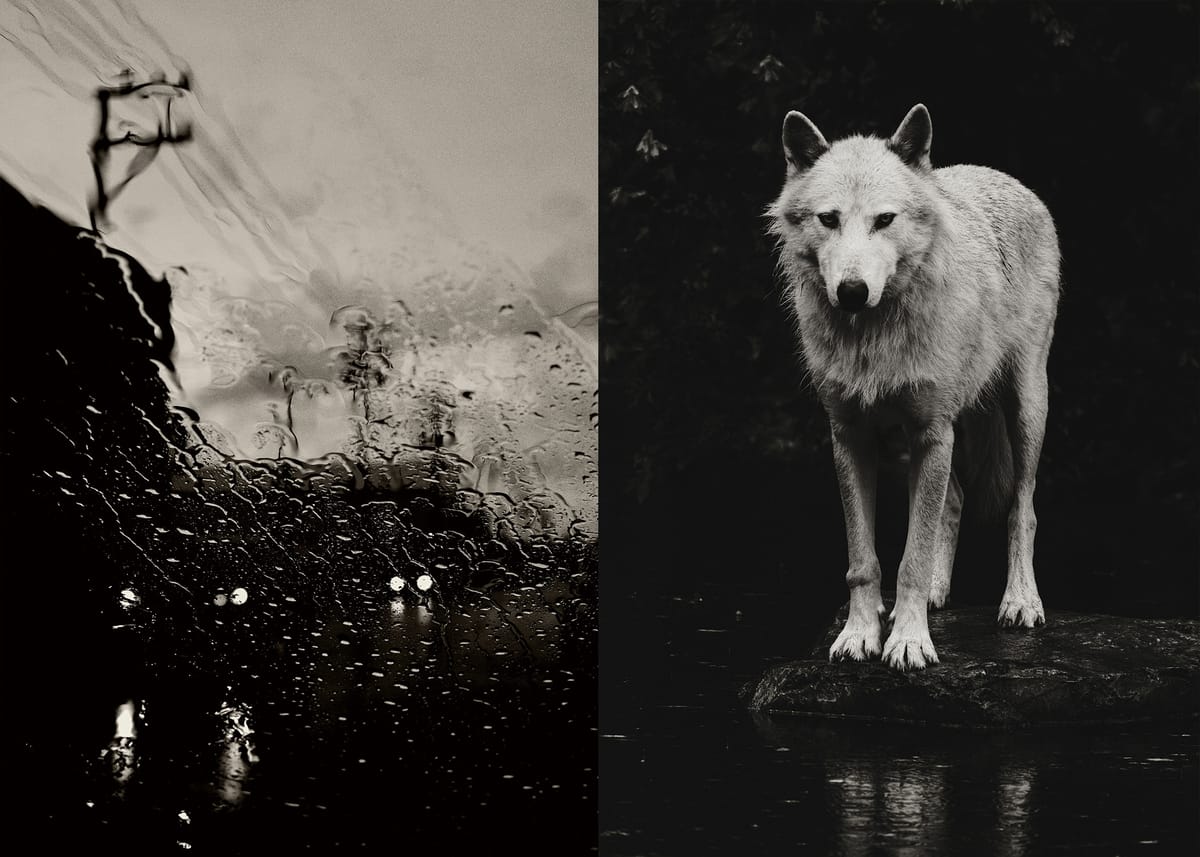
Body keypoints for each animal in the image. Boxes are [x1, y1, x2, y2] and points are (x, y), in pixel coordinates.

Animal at [766, 104, 1060, 671]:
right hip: (925, 438)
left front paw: (907, 642)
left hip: (1025, 409)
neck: (872, 337)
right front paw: (861, 634)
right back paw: (935, 595)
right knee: (955, 500)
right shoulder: (851, 437)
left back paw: (1020, 601)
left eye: (885, 220)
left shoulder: (931, 432)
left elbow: (912, 557)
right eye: (828, 219)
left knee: (1024, 507)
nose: (852, 291)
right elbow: (865, 560)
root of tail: (1003, 177)